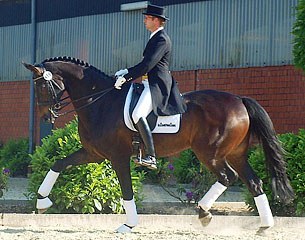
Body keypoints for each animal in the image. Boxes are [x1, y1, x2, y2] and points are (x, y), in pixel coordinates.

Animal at [22, 56, 294, 232]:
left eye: (42, 86)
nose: (46, 117)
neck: (100, 101)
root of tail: (239, 99)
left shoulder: (117, 157)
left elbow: (127, 190)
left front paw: (129, 224)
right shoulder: (93, 153)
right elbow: (59, 164)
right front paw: (42, 202)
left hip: (211, 153)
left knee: (228, 177)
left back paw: (204, 212)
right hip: (235, 153)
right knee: (254, 183)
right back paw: (265, 225)